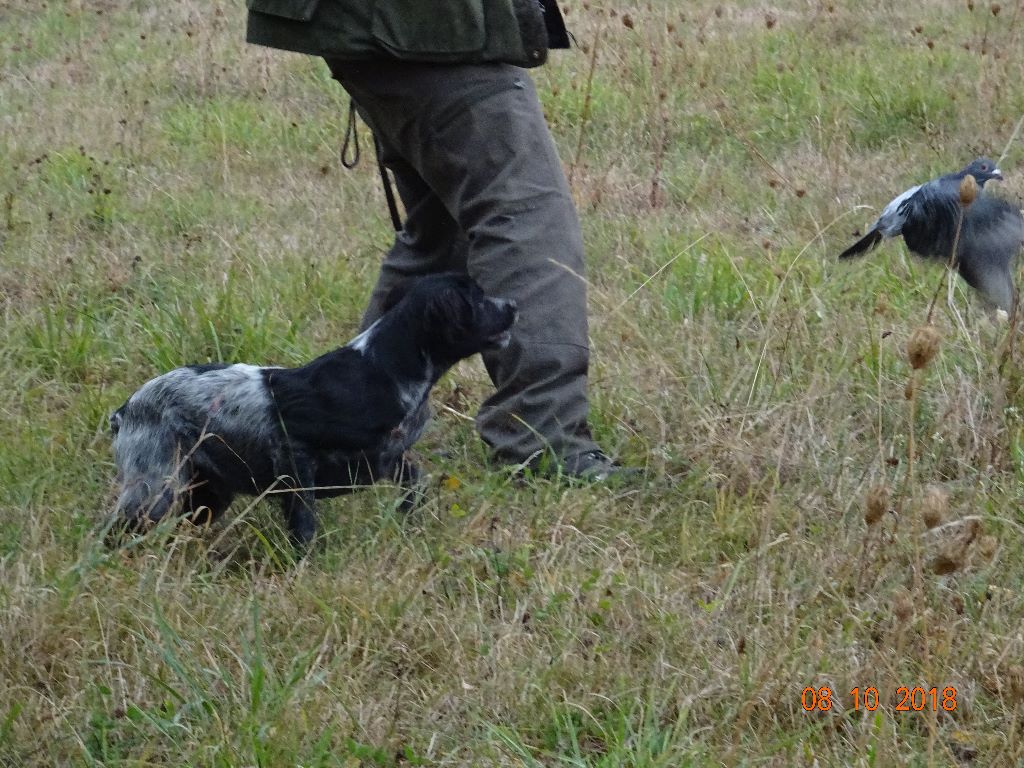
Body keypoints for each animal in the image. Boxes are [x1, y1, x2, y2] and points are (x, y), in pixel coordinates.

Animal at [108, 274, 516, 548]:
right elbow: (304, 522)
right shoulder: (294, 455)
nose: (513, 305)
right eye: (479, 299)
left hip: (207, 492)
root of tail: (127, 408)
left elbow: (414, 487)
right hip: (154, 487)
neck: (384, 369)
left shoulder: (395, 455)